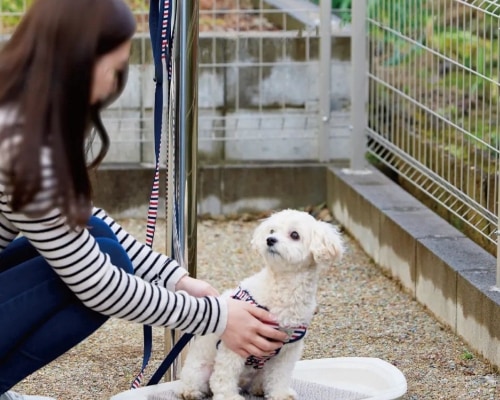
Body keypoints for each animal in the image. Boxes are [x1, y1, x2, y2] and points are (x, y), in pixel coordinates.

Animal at [178, 209, 346, 400]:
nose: (270, 240)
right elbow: (224, 374)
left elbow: (281, 374)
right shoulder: (236, 342)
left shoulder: (289, 349)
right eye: (271, 231)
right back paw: (190, 391)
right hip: (198, 369)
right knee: (195, 380)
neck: (284, 289)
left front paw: (280, 393)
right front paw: (228, 396)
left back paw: (258, 388)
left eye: (294, 235)